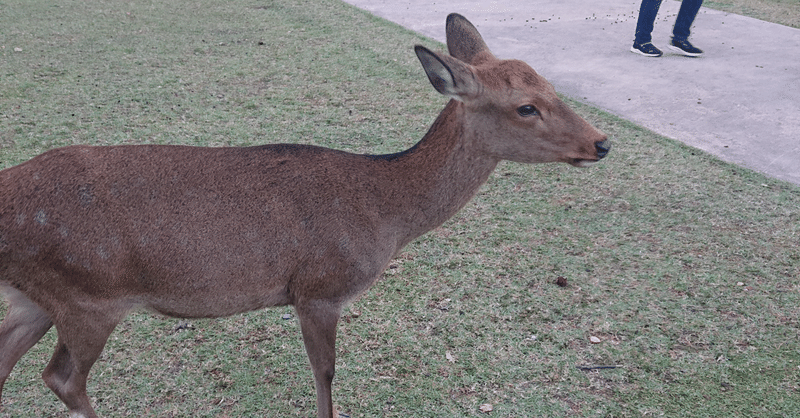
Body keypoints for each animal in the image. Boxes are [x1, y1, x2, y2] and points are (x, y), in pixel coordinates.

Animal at [0, 13, 608, 418]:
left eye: (552, 86)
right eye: (526, 107)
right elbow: (326, 375)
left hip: (39, 297)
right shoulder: (319, 287)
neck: (386, 211)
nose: (601, 143)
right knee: (62, 377)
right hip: (88, 296)